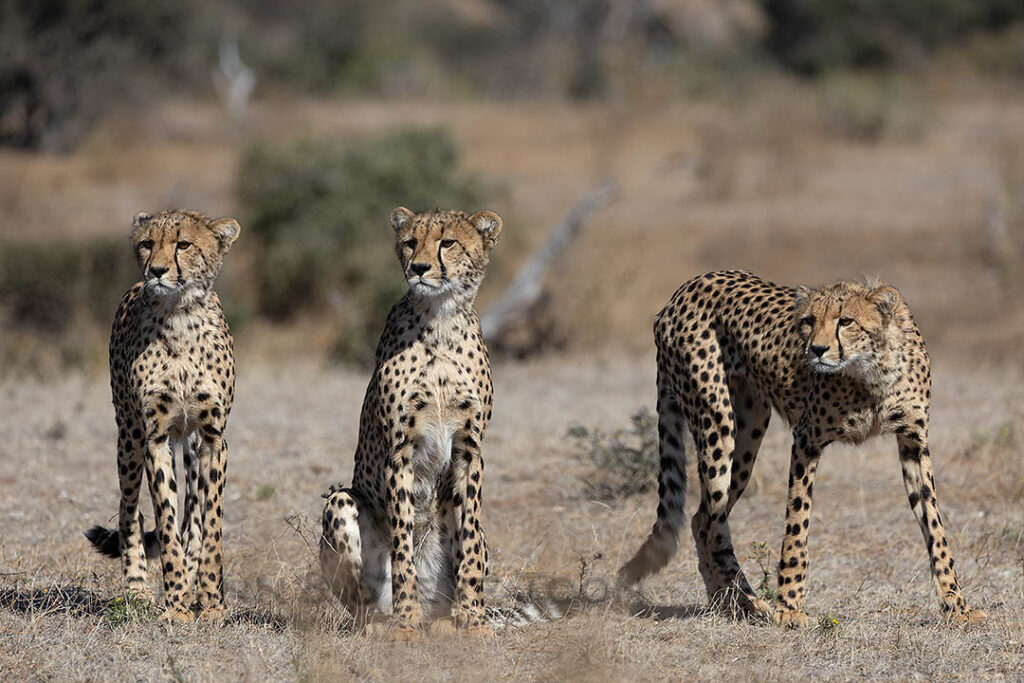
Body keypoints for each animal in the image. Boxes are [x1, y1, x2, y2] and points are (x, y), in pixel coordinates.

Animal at [85, 209, 240, 623]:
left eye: (183, 244)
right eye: (147, 243)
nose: (155, 271)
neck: (180, 316)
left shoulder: (213, 437)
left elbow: (210, 524)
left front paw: (211, 601)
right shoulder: (154, 438)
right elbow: (166, 523)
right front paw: (175, 604)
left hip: (190, 445)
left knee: (194, 517)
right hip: (129, 437)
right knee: (130, 512)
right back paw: (138, 589)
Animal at [319, 206, 505, 638]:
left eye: (447, 242)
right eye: (409, 242)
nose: (419, 267)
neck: (441, 322)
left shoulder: (470, 449)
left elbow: (469, 544)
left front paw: (473, 619)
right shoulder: (399, 451)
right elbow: (402, 548)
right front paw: (407, 621)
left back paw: (445, 620)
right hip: (340, 502)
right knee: (362, 605)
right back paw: (386, 622)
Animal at [618, 269, 984, 627]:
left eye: (845, 321)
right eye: (808, 321)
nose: (817, 350)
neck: (873, 371)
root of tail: (685, 288)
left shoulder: (913, 442)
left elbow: (935, 526)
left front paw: (957, 605)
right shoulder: (806, 441)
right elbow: (797, 524)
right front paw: (790, 607)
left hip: (750, 430)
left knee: (701, 518)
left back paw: (728, 603)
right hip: (717, 421)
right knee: (711, 521)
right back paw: (750, 603)